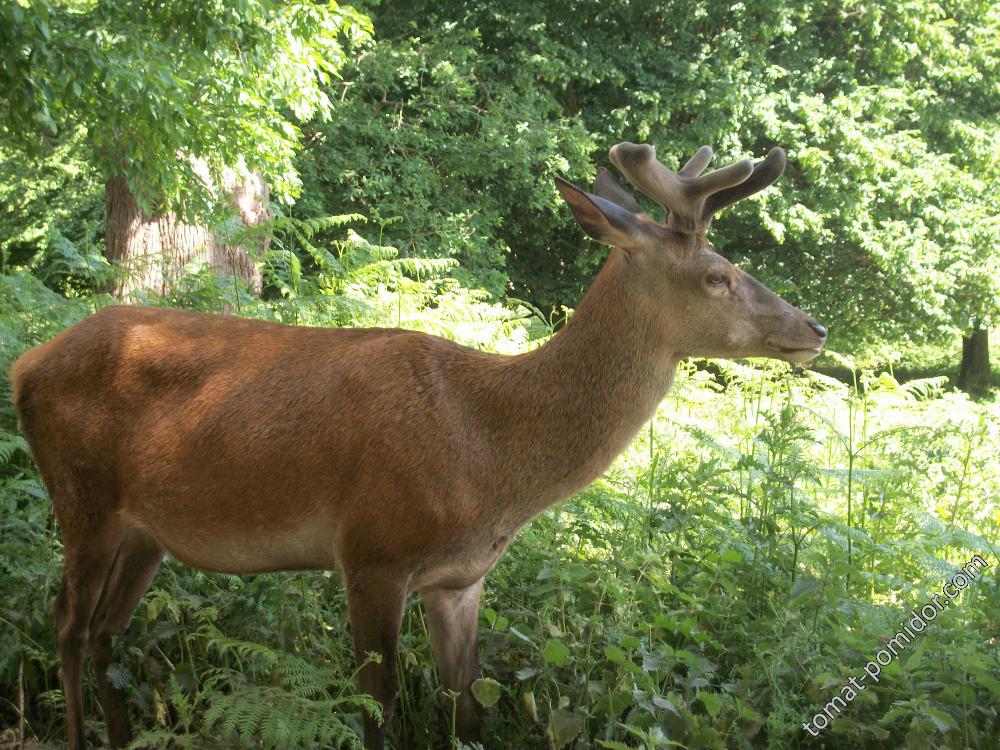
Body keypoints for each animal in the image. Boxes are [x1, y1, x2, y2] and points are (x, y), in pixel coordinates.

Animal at [9, 142, 828, 750]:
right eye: (719, 275)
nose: (814, 328)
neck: (490, 453)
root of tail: (25, 365)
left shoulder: (460, 578)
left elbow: (467, 710)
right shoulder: (372, 552)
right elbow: (380, 713)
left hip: (146, 532)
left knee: (107, 633)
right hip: (81, 499)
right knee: (67, 627)